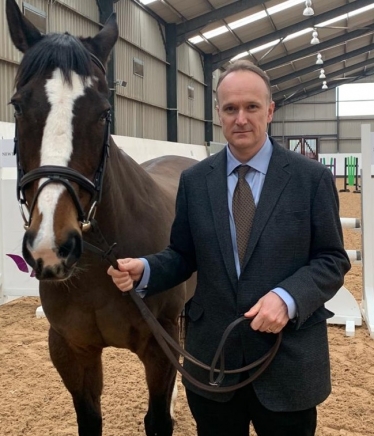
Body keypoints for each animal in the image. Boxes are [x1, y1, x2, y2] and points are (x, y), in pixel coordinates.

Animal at [5, 1, 197, 434]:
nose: (52, 247)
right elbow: (90, 418)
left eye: (104, 112)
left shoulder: (158, 348)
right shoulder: (70, 349)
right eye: (18, 105)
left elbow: (157, 419)